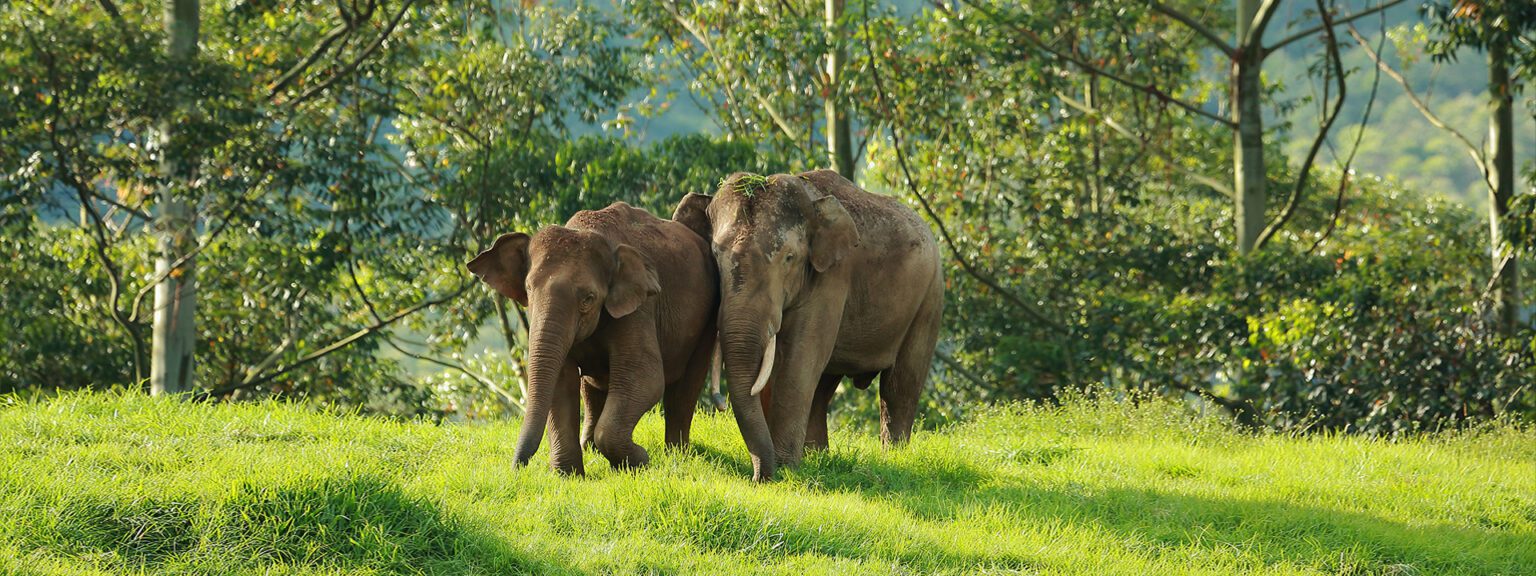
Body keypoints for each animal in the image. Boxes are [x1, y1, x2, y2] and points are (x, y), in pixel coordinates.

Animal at [466, 202, 719, 475]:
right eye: (529, 289)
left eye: (588, 298)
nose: (517, 469)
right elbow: (561, 380)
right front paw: (568, 475)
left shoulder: (639, 308)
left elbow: (645, 377)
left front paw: (639, 461)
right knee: (593, 387)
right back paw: (591, 449)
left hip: (707, 320)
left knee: (685, 387)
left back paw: (677, 454)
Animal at [672, 169, 943, 481]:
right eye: (716, 254)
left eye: (789, 258)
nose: (757, 478)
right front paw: (787, 465)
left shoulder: (831, 277)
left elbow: (798, 362)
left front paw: (785, 467)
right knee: (824, 387)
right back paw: (818, 456)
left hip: (929, 299)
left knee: (901, 385)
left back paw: (894, 458)